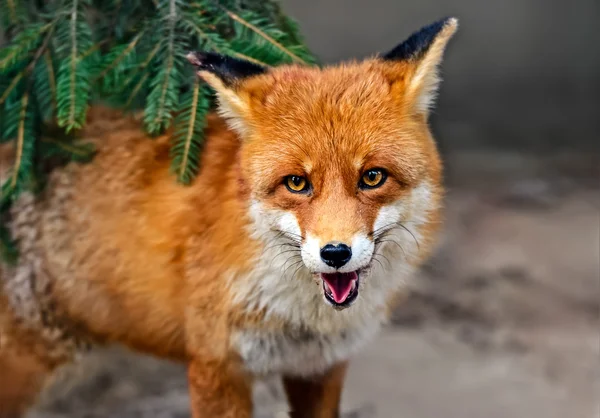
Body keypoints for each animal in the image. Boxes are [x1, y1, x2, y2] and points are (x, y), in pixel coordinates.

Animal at [0, 17, 458, 418]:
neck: (301, 318)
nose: (335, 254)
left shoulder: (319, 366)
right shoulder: (216, 365)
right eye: (296, 183)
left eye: (373, 177)